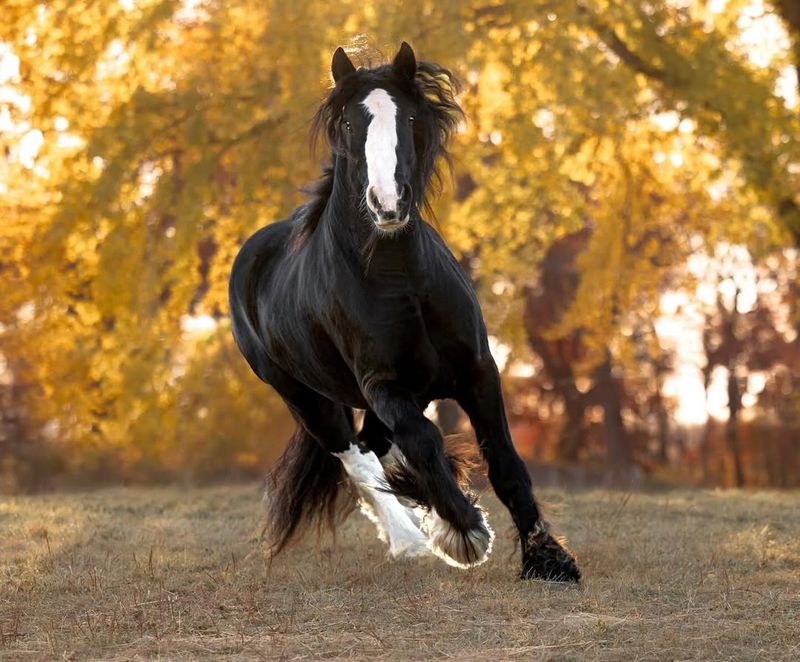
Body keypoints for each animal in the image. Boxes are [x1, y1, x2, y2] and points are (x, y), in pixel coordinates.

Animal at [228, 42, 580, 580]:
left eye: (410, 116)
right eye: (348, 123)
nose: (388, 204)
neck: (401, 278)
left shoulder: (478, 370)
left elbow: (504, 460)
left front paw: (549, 559)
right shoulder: (385, 386)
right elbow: (423, 441)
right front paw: (464, 531)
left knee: (373, 450)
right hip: (305, 398)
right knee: (355, 459)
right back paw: (411, 540)